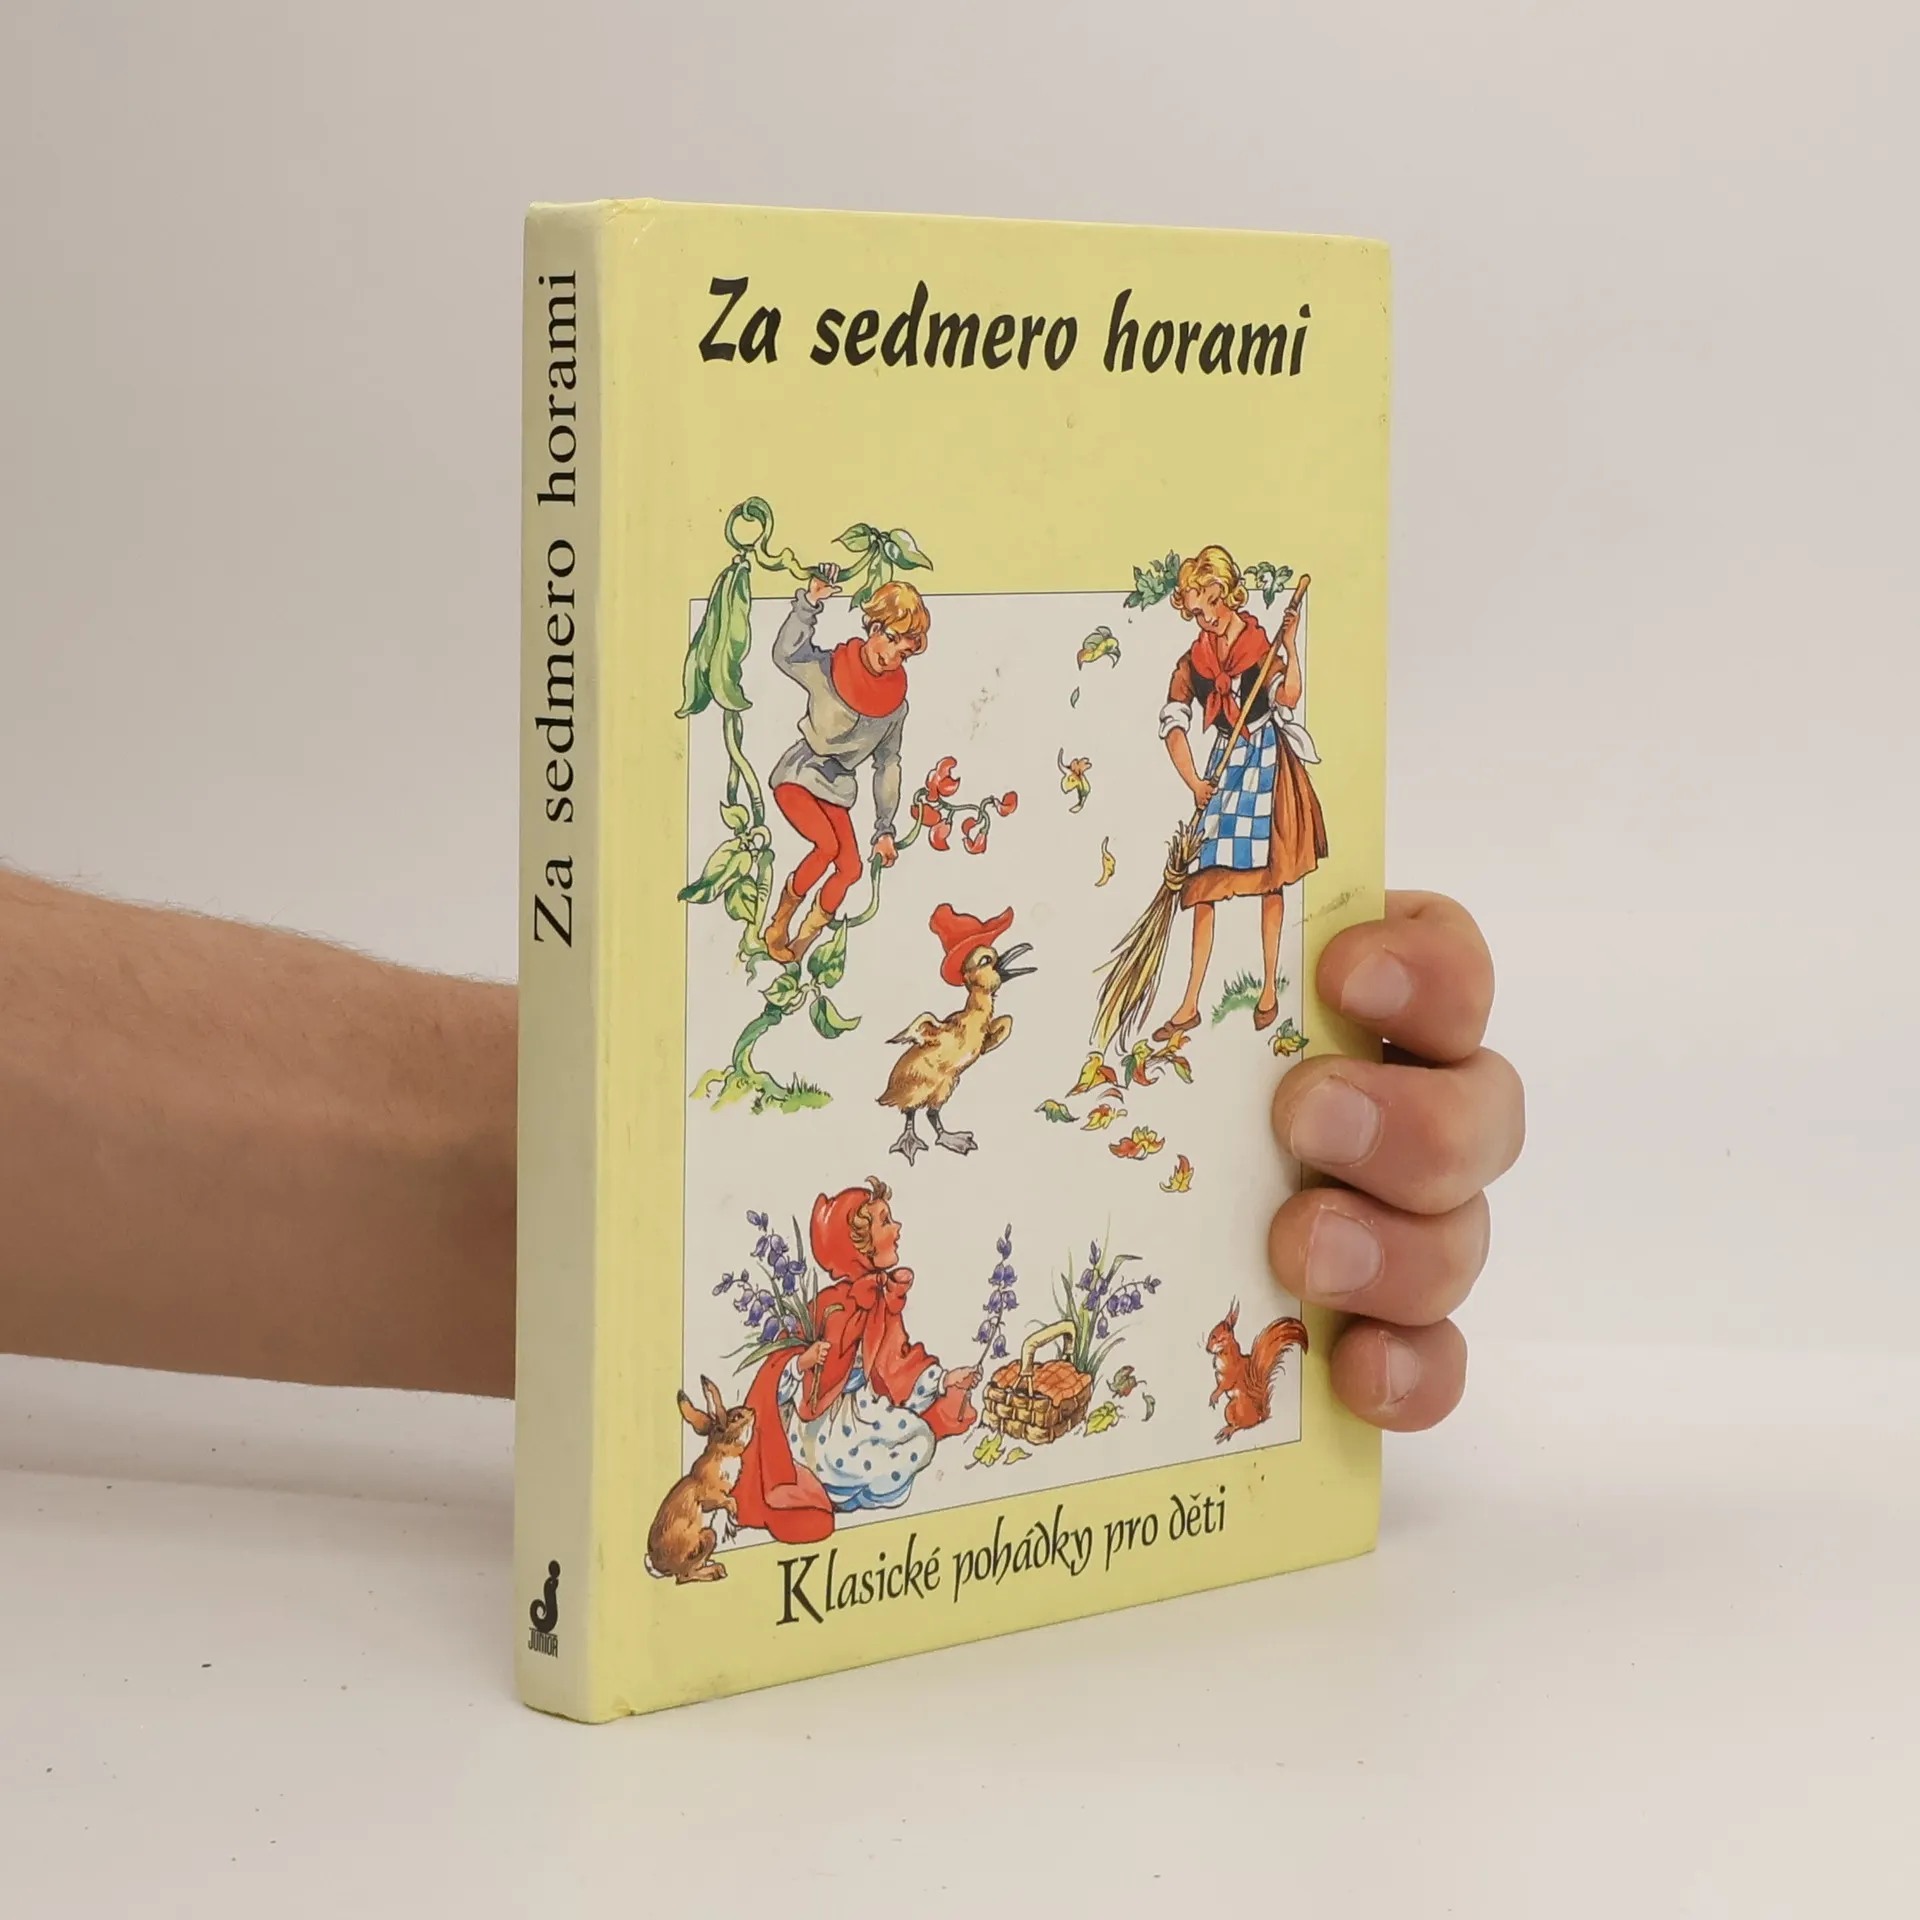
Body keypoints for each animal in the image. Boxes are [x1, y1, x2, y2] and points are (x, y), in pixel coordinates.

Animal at [645, 1376, 757, 1584]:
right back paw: (715, 1571)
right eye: (736, 1418)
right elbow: (724, 1500)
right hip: (705, 1538)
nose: (753, 1411)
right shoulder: (709, 1493)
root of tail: (659, 1567)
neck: (721, 1453)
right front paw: (734, 1512)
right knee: (683, 1576)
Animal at [1205, 1303, 1309, 1445]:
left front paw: (1214, 1395)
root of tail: (1260, 1417)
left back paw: (1228, 1430)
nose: (1207, 1349)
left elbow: (1225, 1384)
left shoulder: (1231, 1374)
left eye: (1215, 1336)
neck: (1223, 1353)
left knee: (1240, 1425)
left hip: (1232, 1408)